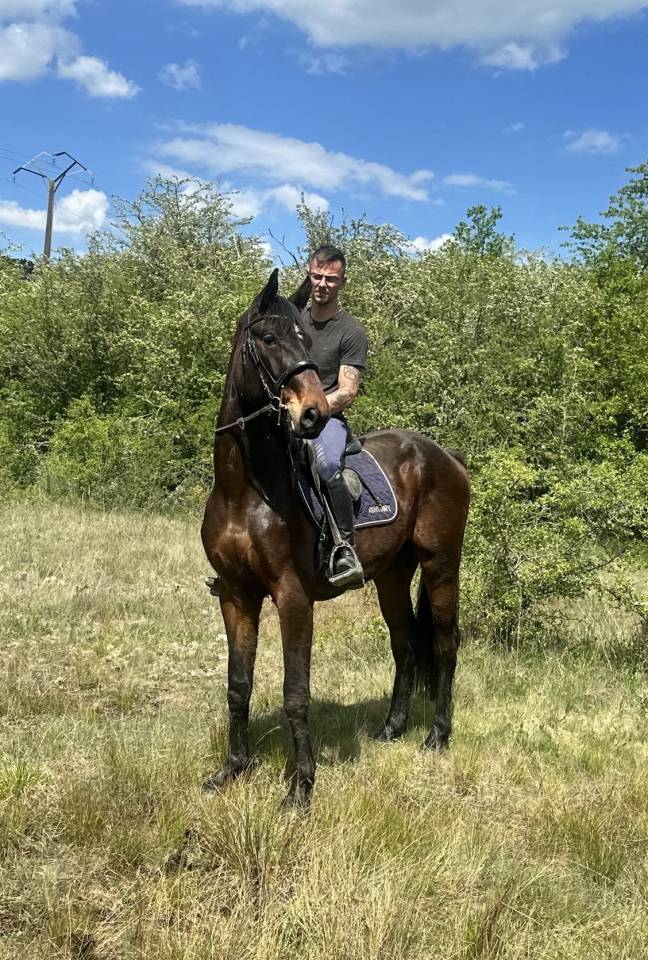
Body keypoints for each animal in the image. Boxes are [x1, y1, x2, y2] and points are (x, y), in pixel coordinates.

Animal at [201, 269, 470, 807]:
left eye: (305, 340)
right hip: (392, 576)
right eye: (268, 339)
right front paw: (232, 770)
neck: (245, 491)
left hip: (441, 566)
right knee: (406, 646)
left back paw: (437, 736)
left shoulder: (292, 598)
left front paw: (301, 788)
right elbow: (238, 685)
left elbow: (295, 692)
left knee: (445, 644)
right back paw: (391, 728)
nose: (312, 414)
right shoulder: (237, 595)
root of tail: (447, 458)